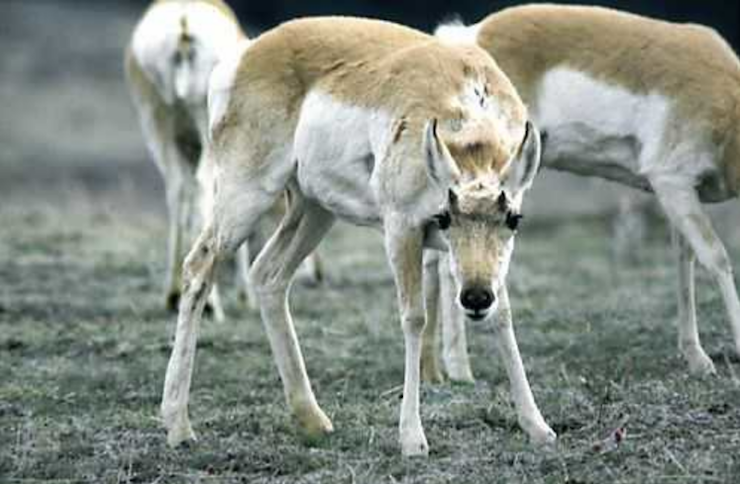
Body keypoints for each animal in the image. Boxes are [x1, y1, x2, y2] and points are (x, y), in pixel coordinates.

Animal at [162, 17, 556, 458]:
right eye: (444, 217)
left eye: (513, 219)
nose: (474, 298)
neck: (467, 105)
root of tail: (246, 53)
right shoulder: (401, 228)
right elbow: (414, 317)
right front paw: (412, 438)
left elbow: (503, 316)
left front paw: (538, 426)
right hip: (246, 195)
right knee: (199, 267)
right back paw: (178, 425)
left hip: (313, 211)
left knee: (267, 275)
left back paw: (313, 418)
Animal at [436, 4, 740, 378]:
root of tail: (468, 37)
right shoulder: (672, 182)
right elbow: (717, 257)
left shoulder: (680, 195)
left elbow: (685, 262)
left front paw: (695, 357)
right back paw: (460, 369)